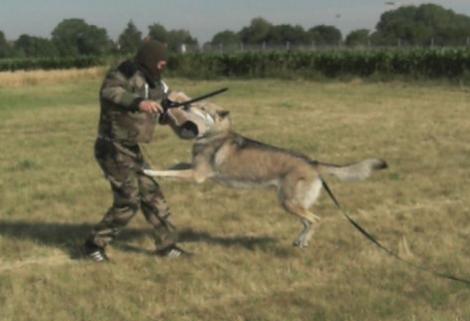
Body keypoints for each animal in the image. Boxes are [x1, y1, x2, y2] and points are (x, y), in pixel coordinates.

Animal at [147, 93, 386, 248]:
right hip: (291, 203)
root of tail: (312, 163)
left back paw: (303, 241)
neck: (214, 134)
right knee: (308, 221)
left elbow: (169, 172)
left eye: (203, 109)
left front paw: (148, 172)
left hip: (289, 202)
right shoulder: (194, 168)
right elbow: (174, 167)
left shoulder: (197, 175)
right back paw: (300, 241)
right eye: (198, 105)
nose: (185, 106)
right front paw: (153, 168)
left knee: (315, 220)